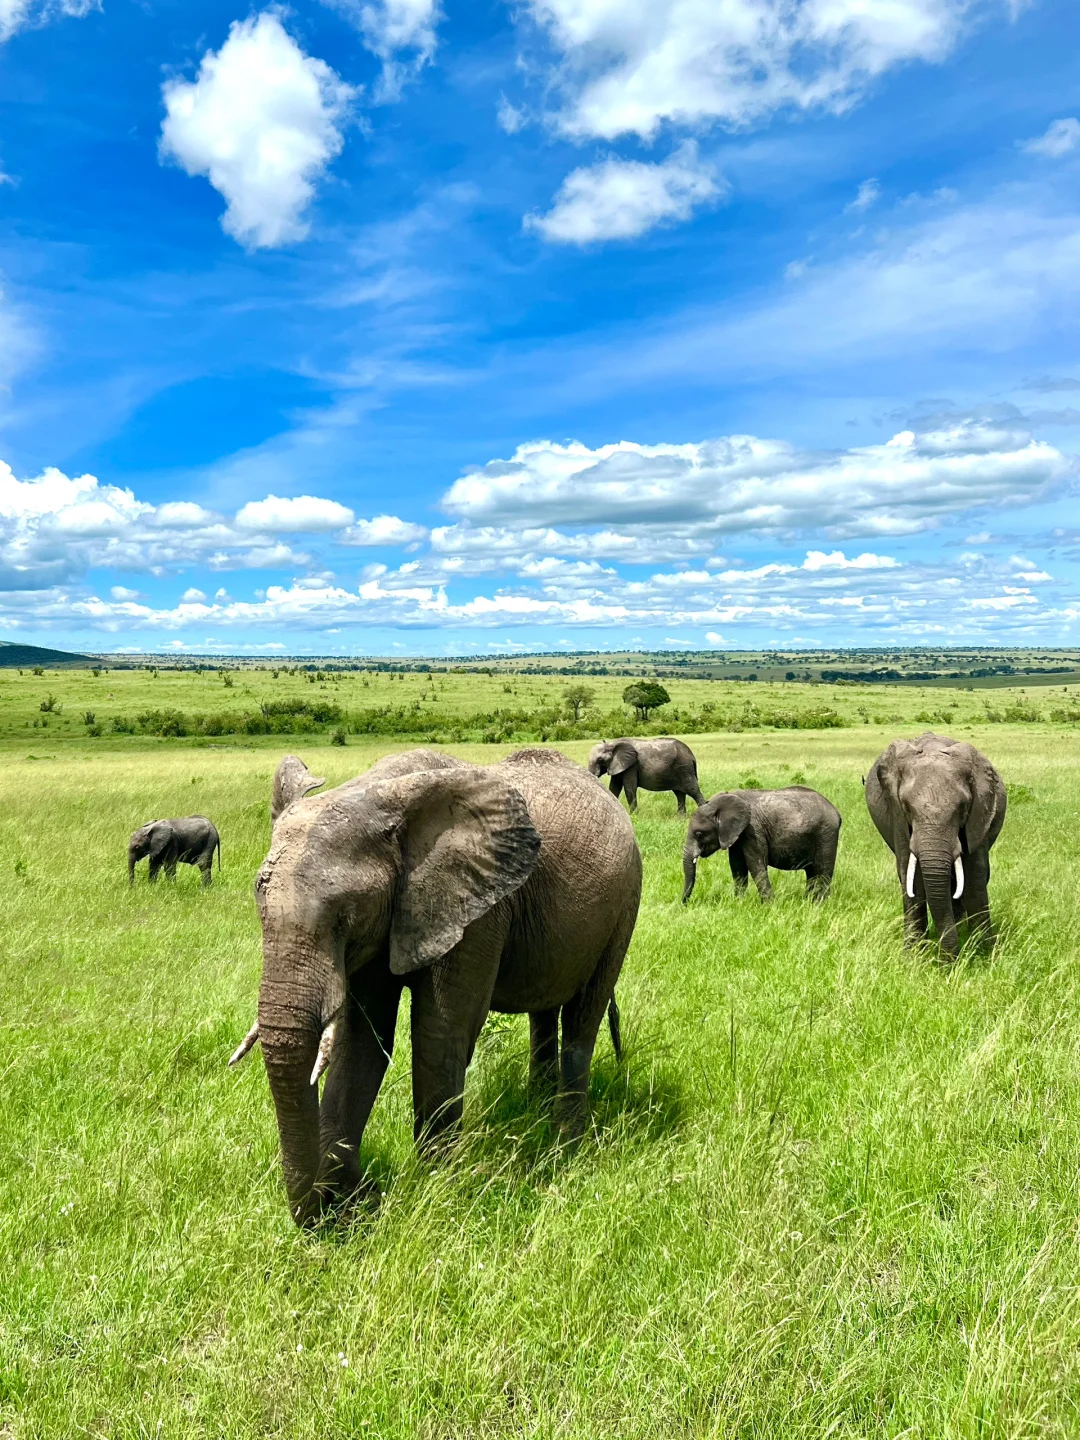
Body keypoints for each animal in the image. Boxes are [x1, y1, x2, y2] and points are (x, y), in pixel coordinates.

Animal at [237, 743, 642, 1226]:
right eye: (258, 906)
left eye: (345, 918)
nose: (328, 1213)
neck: (378, 795)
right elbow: (363, 1040)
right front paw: (351, 1201)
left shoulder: (477, 910)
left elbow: (441, 1033)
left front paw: (436, 1191)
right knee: (545, 1010)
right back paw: (538, 1112)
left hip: (624, 905)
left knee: (584, 1017)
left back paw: (565, 1142)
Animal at [685, 789, 846, 898]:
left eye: (699, 834)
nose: (684, 904)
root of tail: (836, 812)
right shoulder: (737, 835)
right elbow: (737, 867)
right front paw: (739, 902)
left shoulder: (753, 830)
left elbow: (755, 864)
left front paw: (769, 905)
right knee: (813, 874)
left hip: (826, 834)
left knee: (822, 872)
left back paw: (819, 904)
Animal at [869, 731, 1013, 956]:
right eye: (906, 808)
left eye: (963, 808)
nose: (949, 960)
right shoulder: (896, 816)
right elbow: (911, 877)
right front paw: (912, 957)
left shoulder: (979, 815)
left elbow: (974, 876)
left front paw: (983, 954)